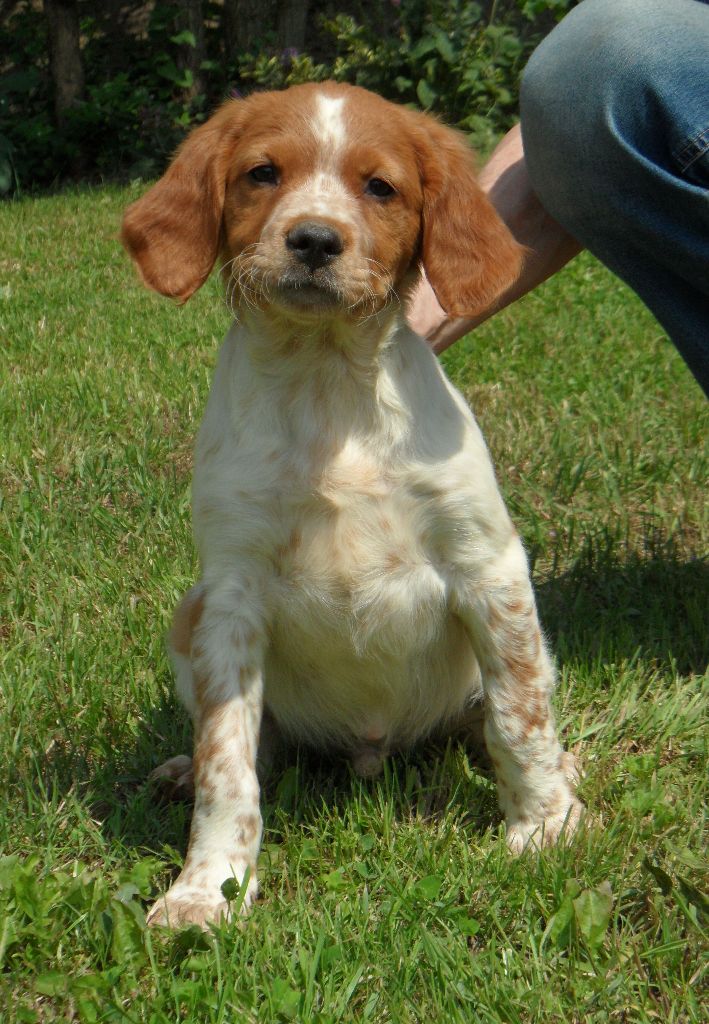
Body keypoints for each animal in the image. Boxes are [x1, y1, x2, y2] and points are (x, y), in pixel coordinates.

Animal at [121, 81, 584, 928]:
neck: (325, 382)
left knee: (500, 709)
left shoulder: (488, 565)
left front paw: (544, 827)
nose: (312, 239)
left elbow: (519, 714)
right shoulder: (230, 597)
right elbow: (227, 760)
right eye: (262, 173)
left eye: (380, 187)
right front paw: (207, 888)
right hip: (188, 612)